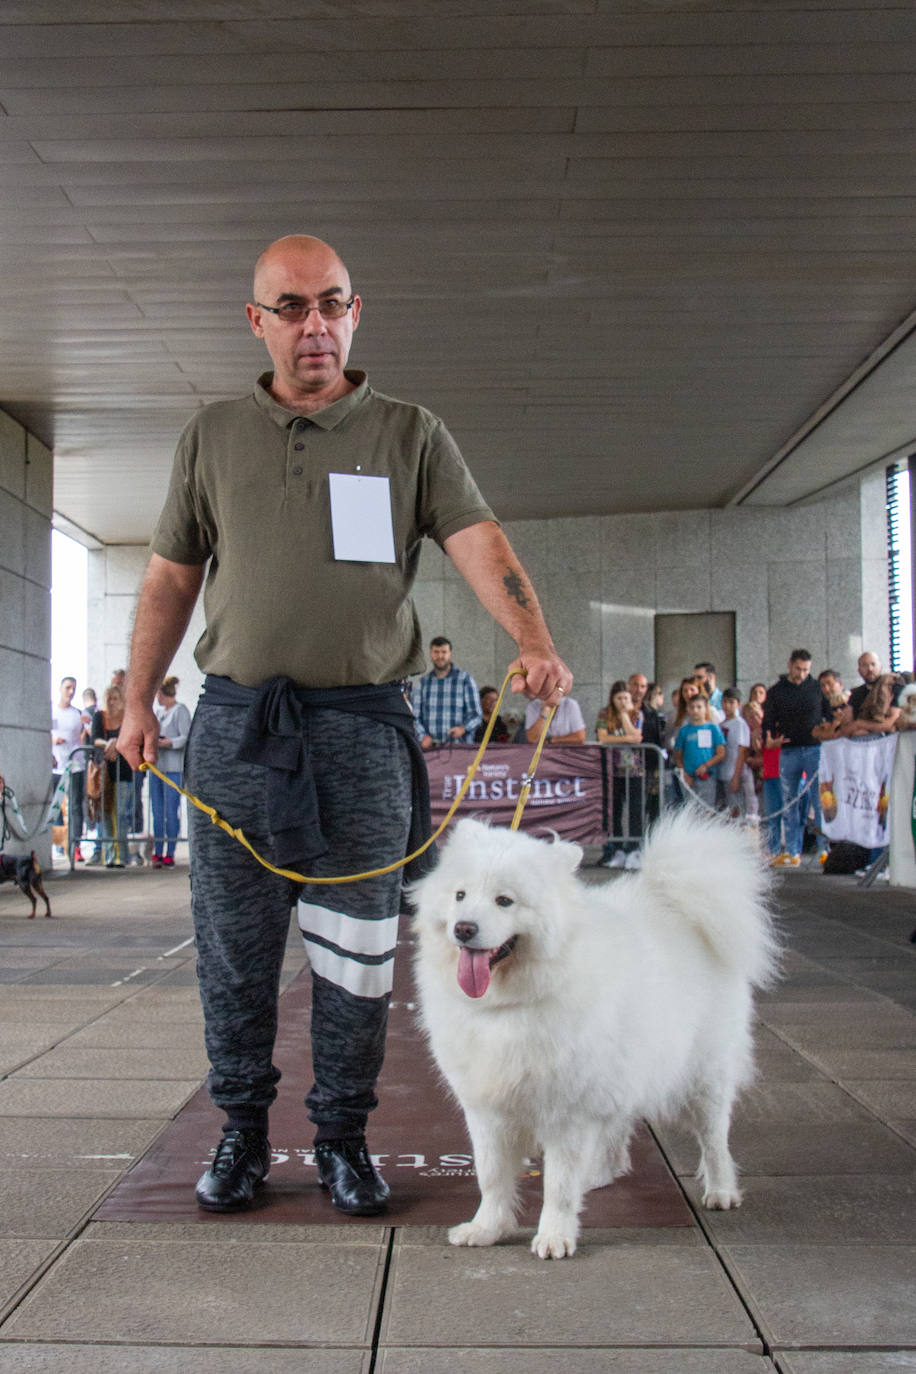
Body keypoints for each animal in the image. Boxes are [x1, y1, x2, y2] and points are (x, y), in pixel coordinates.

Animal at [411, 807, 780, 1258]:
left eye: (504, 900)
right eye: (460, 895)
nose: (463, 928)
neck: (508, 1006)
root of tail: (674, 903)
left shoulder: (566, 1110)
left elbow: (557, 1185)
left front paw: (554, 1236)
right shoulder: (487, 1108)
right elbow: (492, 1175)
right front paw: (487, 1228)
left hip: (703, 1077)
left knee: (714, 1137)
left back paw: (722, 1190)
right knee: (617, 1128)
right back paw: (599, 1174)